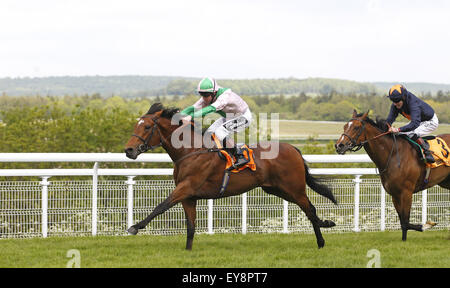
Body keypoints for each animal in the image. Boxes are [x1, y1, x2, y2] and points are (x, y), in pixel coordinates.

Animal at [125, 103, 336, 250]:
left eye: (146, 127)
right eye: (136, 125)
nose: (129, 150)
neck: (190, 151)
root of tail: (294, 148)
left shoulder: (186, 187)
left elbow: (161, 206)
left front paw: (135, 226)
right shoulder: (189, 196)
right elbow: (191, 227)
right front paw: (188, 252)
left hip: (294, 188)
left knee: (310, 209)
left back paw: (322, 237)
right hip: (276, 189)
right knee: (309, 210)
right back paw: (325, 228)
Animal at [336, 110, 448, 241]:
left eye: (356, 127)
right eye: (345, 126)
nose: (339, 145)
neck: (393, 154)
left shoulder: (406, 192)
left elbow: (406, 221)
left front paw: (427, 225)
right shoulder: (395, 194)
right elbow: (403, 221)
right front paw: (405, 239)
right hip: (445, 182)